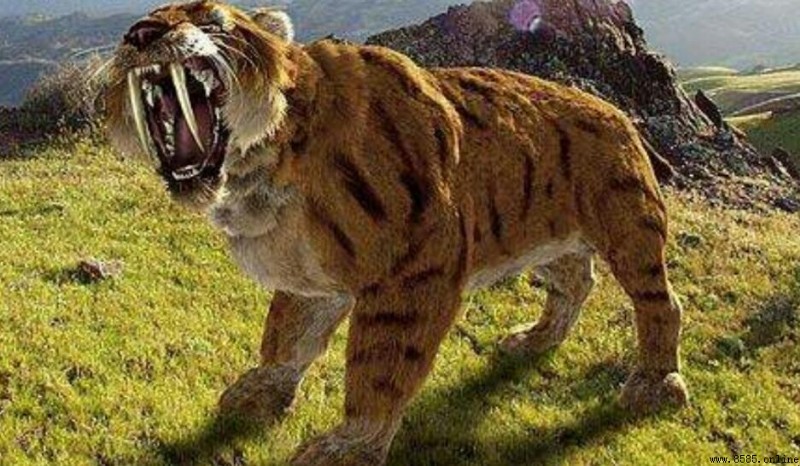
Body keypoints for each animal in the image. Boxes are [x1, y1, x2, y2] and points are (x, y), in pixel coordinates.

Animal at [104, 1, 689, 464]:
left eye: (211, 18)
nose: (139, 33)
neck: (263, 168)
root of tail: (619, 112)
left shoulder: (411, 275)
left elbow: (379, 368)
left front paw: (350, 446)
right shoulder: (312, 274)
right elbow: (286, 335)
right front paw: (260, 392)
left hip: (628, 226)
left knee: (661, 303)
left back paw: (655, 384)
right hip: (543, 236)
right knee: (575, 281)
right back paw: (535, 340)